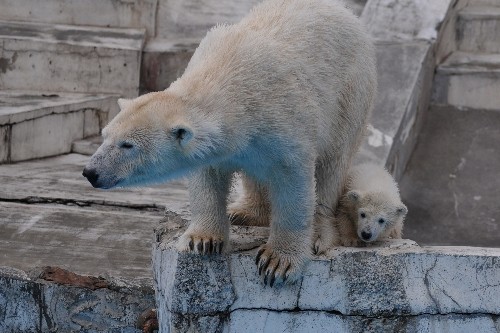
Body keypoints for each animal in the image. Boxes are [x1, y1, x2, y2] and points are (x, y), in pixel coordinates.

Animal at [84, 0, 376, 286]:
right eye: (105, 135)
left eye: (127, 145)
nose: (90, 172)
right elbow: (207, 175)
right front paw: (202, 240)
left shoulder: (286, 118)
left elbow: (293, 180)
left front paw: (278, 261)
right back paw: (244, 212)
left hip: (351, 94)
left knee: (332, 164)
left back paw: (318, 232)